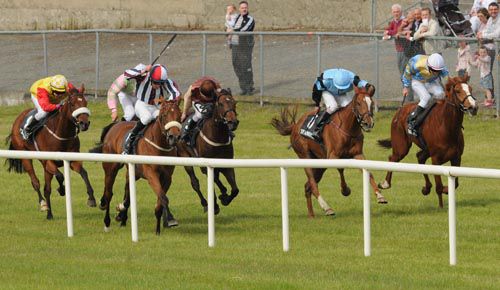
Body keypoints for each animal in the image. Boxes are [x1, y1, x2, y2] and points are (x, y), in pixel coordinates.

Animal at [5, 85, 94, 219]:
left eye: (85, 102)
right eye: (73, 104)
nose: (84, 124)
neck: (61, 134)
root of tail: (18, 118)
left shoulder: (73, 160)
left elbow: (84, 173)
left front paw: (91, 198)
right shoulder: (49, 161)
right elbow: (60, 176)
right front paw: (62, 190)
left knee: (47, 189)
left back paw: (49, 214)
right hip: (26, 157)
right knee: (35, 182)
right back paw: (43, 204)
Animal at [90, 98, 182, 234]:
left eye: (179, 115)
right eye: (164, 115)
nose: (174, 137)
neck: (159, 145)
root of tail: (115, 125)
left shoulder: (167, 177)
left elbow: (160, 200)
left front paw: (158, 230)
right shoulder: (151, 174)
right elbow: (163, 197)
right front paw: (170, 219)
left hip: (133, 172)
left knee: (127, 191)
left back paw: (122, 215)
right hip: (110, 168)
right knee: (109, 193)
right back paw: (107, 220)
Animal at [274, 86, 386, 218]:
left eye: (371, 103)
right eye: (358, 103)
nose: (368, 123)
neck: (348, 128)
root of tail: (295, 126)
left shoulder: (358, 154)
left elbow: (369, 173)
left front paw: (380, 195)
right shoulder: (333, 156)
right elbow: (341, 169)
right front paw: (345, 190)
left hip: (320, 163)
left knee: (307, 186)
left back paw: (311, 215)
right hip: (305, 156)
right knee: (313, 184)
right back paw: (326, 207)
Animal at [376, 75, 478, 206]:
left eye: (470, 89)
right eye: (458, 90)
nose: (473, 107)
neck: (447, 127)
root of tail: (400, 109)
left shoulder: (456, 157)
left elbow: (455, 183)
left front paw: (444, 189)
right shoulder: (436, 159)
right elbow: (439, 186)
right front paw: (441, 205)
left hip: (425, 149)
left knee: (420, 157)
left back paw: (426, 188)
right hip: (401, 147)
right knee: (393, 158)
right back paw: (385, 183)